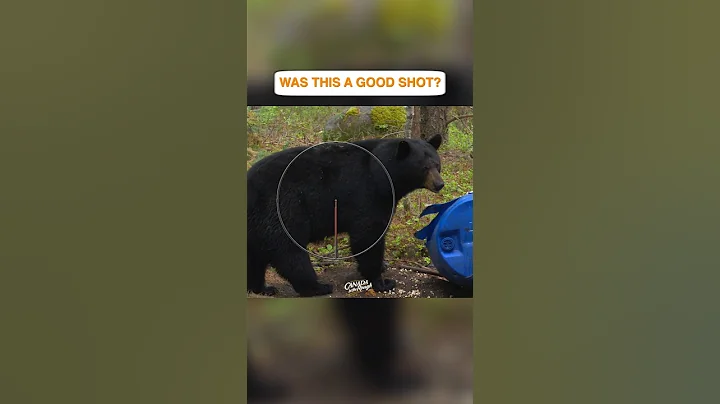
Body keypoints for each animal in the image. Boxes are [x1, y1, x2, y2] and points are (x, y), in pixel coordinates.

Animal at [247, 134, 444, 297]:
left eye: (437, 164)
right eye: (424, 167)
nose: (439, 184)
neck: (383, 175)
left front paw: (383, 267)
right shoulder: (367, 194)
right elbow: (367, 236)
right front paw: (381, 281)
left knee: (255, 256)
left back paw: (261, 288)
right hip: (283, 206)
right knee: (289, 251)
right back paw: (317, 287)